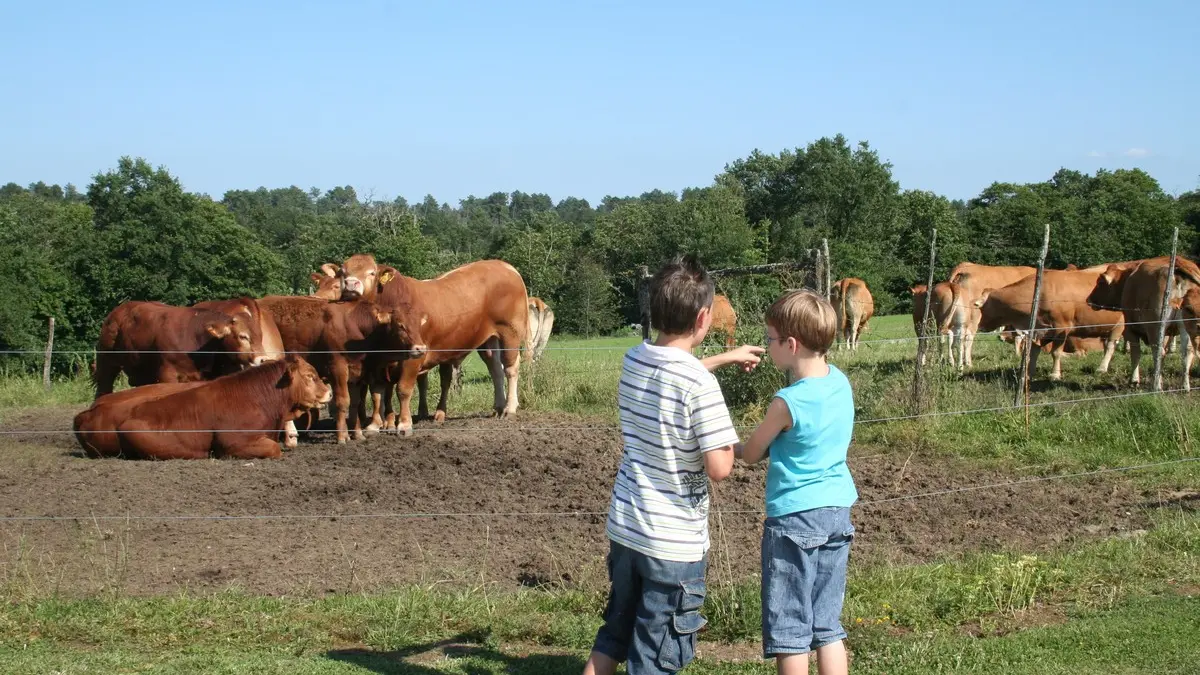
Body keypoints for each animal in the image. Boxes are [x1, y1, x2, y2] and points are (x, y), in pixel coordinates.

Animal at [336, 253, 528, 437]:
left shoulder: (414, 356)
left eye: (371, 272)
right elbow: (377, 392)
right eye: (343, 272)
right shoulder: (376, 360)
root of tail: (505, 266)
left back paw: (510, 408)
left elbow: (403, 389)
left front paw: (404, 425)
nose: (351, 283)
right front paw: (375, 425)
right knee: (495, 368)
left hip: (510, 331)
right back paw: (498, 406)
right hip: (488, 340)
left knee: (510, 368)